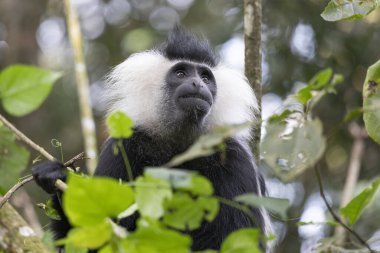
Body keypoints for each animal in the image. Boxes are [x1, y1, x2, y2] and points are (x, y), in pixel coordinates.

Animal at [31, 26, 272, 252]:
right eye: (181, 74)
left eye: (205, 77)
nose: (198, 84)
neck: (180, 145)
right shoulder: (123, 147)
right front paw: (56, 176)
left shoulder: (235, 159)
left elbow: (237, 237)